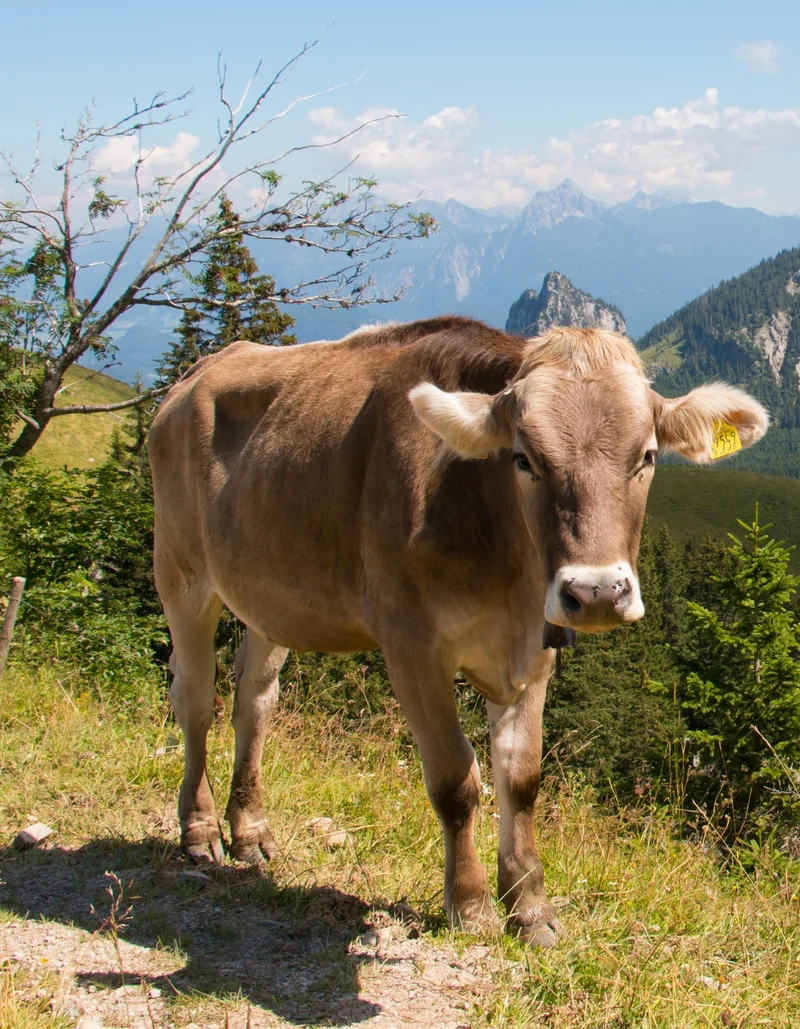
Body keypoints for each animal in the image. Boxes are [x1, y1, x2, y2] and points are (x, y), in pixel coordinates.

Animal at [148, 317, 768, 946]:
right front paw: (470, 906)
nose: (596, 593)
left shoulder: (532, 652)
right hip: (180, 572)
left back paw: (250, 830)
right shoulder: (410, 645)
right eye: (523, 459)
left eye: (646, 456)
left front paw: (531, 907)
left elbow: (522, 779)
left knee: (254, 699)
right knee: (194, 699)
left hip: (267, 599)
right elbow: (454, 780)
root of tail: (199, 372)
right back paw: (200, 831)